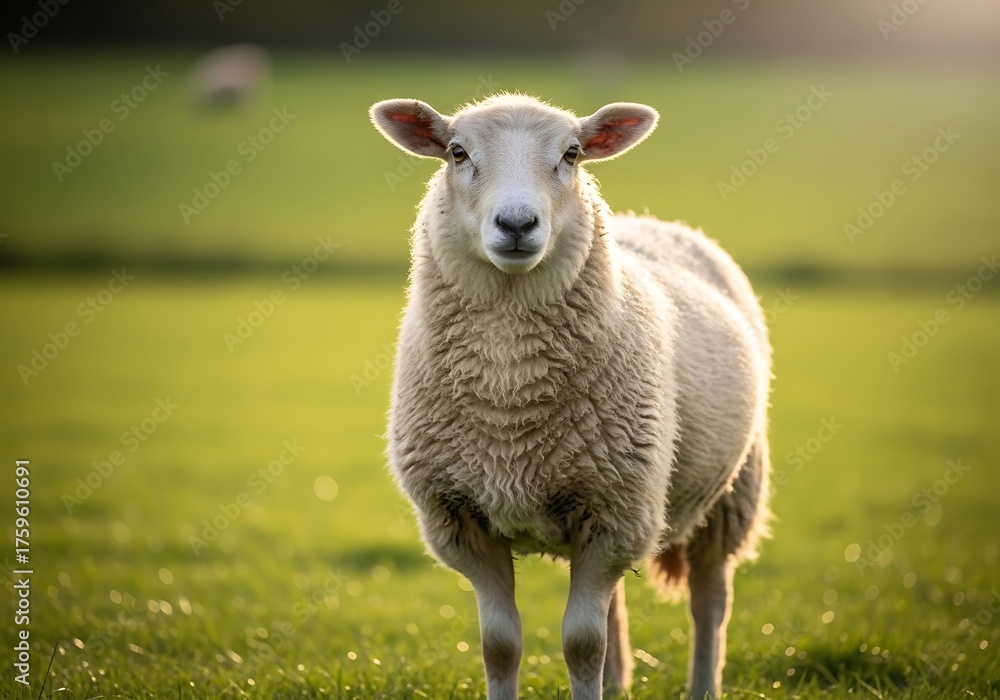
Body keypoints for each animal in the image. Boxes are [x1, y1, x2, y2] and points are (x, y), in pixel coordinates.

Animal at [370, 94, 772, 700]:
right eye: (457, 152)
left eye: (573, 154)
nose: (517, 223)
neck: (508, 391)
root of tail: (655, 221)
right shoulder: (462, 519)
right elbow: (500, 645)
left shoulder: (617, 512)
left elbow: (581, 644)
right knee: (619, 604)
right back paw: (621, 681)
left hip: (730, 492)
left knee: (710, 601)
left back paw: (702, 686)